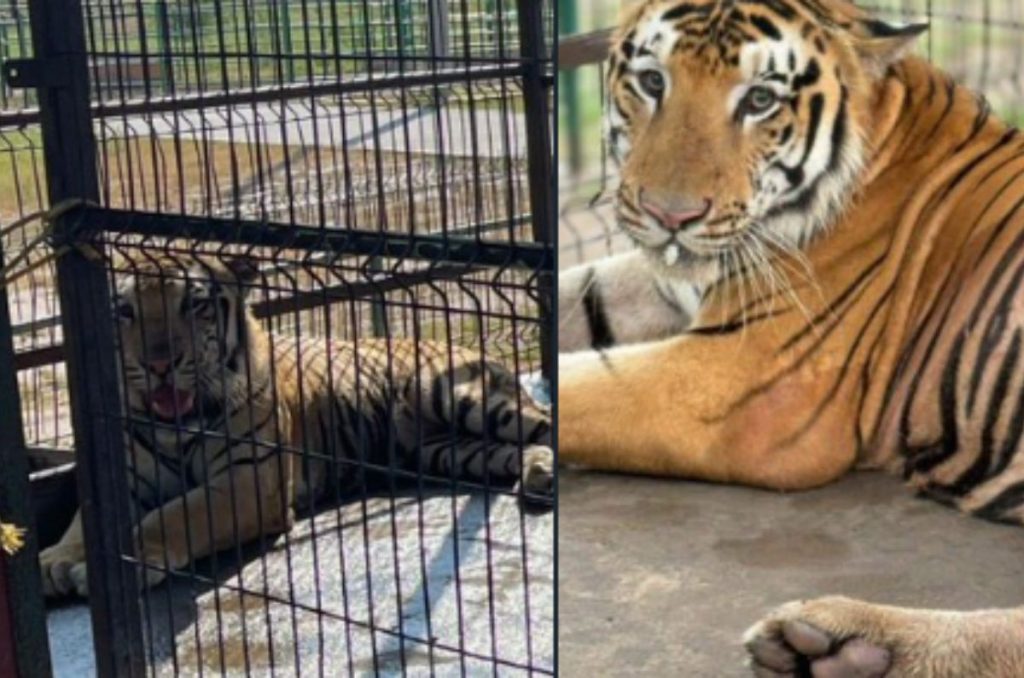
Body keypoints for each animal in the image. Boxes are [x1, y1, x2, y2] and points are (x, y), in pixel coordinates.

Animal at [39, 255, 553, 598]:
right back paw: (538, 477)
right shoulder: (123, 477)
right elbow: (82, 522)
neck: (175, 424)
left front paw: (123, 565)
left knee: (547, 425)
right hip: (447, 449)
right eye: (125, 312)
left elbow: (171, 514)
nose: (159, 364)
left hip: (469, 400)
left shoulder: (251, 479)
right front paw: (57, 562)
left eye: (194, 305)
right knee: (514, 451)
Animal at [559, 0, 1024, 675]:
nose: (670, 216)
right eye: (652, 82)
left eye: (759, 100)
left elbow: (571, 389)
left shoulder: (744, 387)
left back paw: (849, 641)